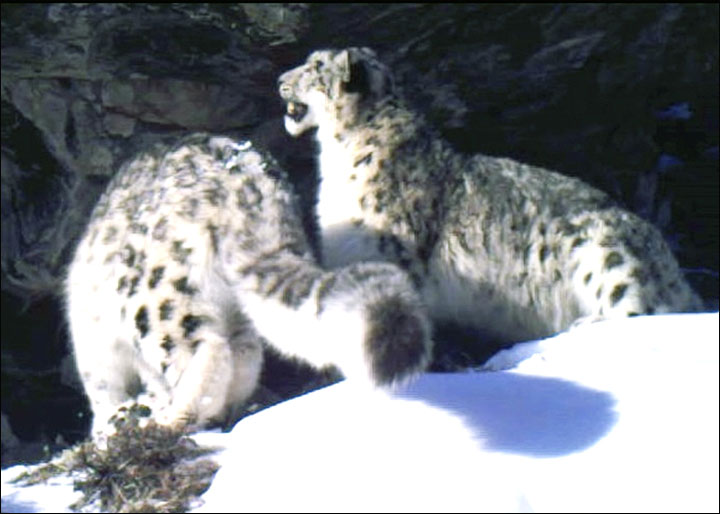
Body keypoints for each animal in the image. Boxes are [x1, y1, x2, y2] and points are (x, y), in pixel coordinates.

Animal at [64, 133, 430, 436]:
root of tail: (245, 176)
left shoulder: (96, 350)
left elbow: (103, 388)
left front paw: (112, 421)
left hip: (153, 291)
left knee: (203, 349)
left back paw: (173, 419)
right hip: (234, 310)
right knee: (243, 354)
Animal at [278, 47, 704, 348]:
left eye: (315, 65)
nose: (280, 79)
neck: (338, 158)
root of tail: (671, 265)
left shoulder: (390, 255)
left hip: (607, 257)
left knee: (649, 312)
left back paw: (585, 325)